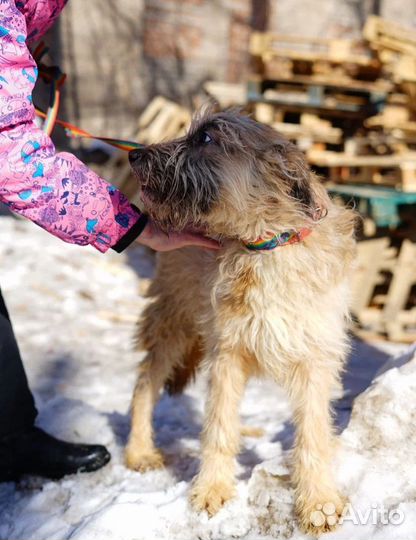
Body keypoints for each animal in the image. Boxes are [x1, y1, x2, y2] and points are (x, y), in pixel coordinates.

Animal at [125, 110, 356, 536]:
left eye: (205, 138)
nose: (135, 155)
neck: (265, 246)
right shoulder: (227, 353)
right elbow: (219, 426)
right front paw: (212, 490)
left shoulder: (315, 359)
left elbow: (314, 434)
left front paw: (319, 502)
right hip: (173, 321)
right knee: (145, 384)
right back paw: (139, 450)